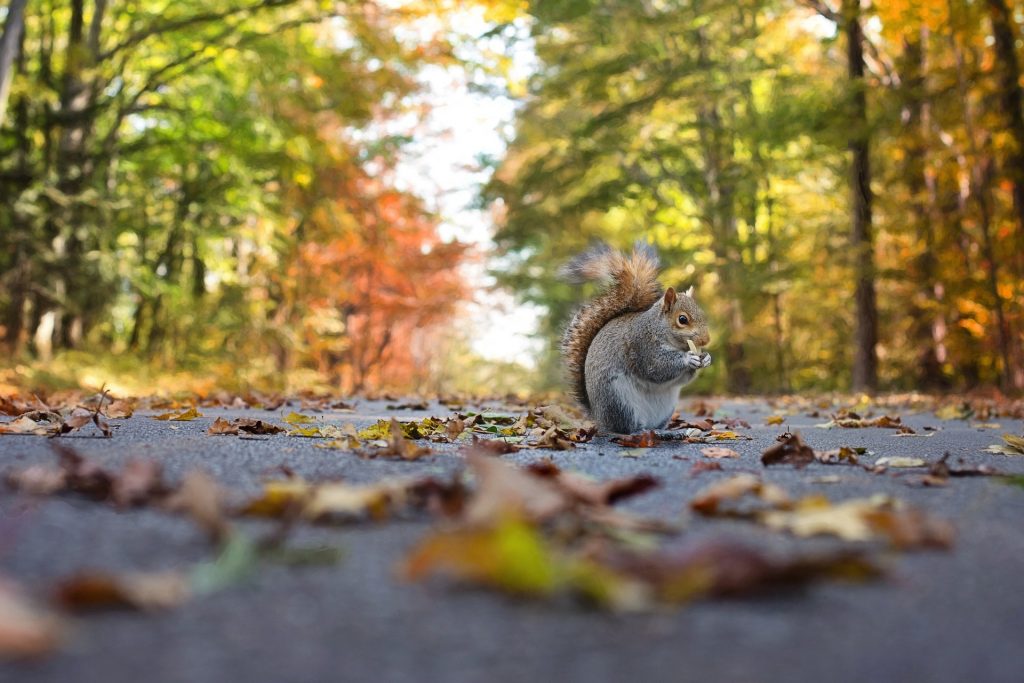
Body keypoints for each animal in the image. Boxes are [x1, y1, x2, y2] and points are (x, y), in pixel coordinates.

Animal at [561, 240, 712, 432]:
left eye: (702, 314)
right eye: (682, 319)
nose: (706, 340)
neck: (657, 328)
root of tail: (599, 418)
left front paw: (706, 358)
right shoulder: (642, 345)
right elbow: (656, 367)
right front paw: (688, 358)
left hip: (666, 408)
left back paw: (661, 430)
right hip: (618, 401)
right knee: (627, 428)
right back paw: (643, 431)